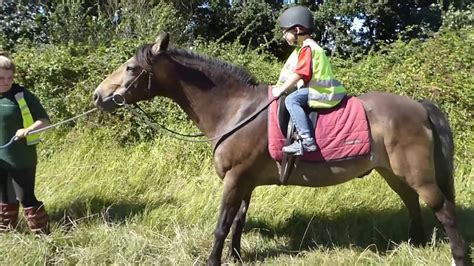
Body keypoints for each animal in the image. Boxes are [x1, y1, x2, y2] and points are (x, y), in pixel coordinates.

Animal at [92, 32, 470, 264]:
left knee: (443, 209)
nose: (98, 96)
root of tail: (419, 105)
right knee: (411, 201)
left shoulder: (235, 180)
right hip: (391, 171)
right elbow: (238, 221)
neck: (235, 110)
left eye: (130, 68)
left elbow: (222, 224)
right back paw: (415, 242)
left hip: (417, 174)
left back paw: (458, 255)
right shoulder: (245, 181)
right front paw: (236, 257)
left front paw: (214, 259)